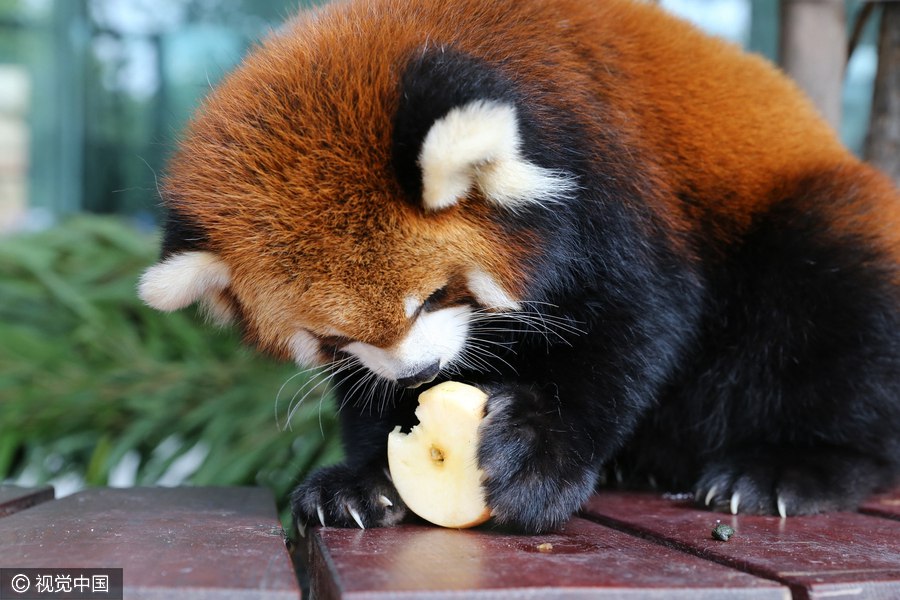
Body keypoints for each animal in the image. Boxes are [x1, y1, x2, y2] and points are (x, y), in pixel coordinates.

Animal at [139, 0, 900, 536]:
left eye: (433, 297)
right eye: (332, 339)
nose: (417, 374)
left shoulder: (608, 172)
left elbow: (634, 326)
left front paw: (538, 454)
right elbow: (364, 392)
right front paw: (365, 479)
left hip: (815, 227)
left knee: (836, 314)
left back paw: (792, 467)